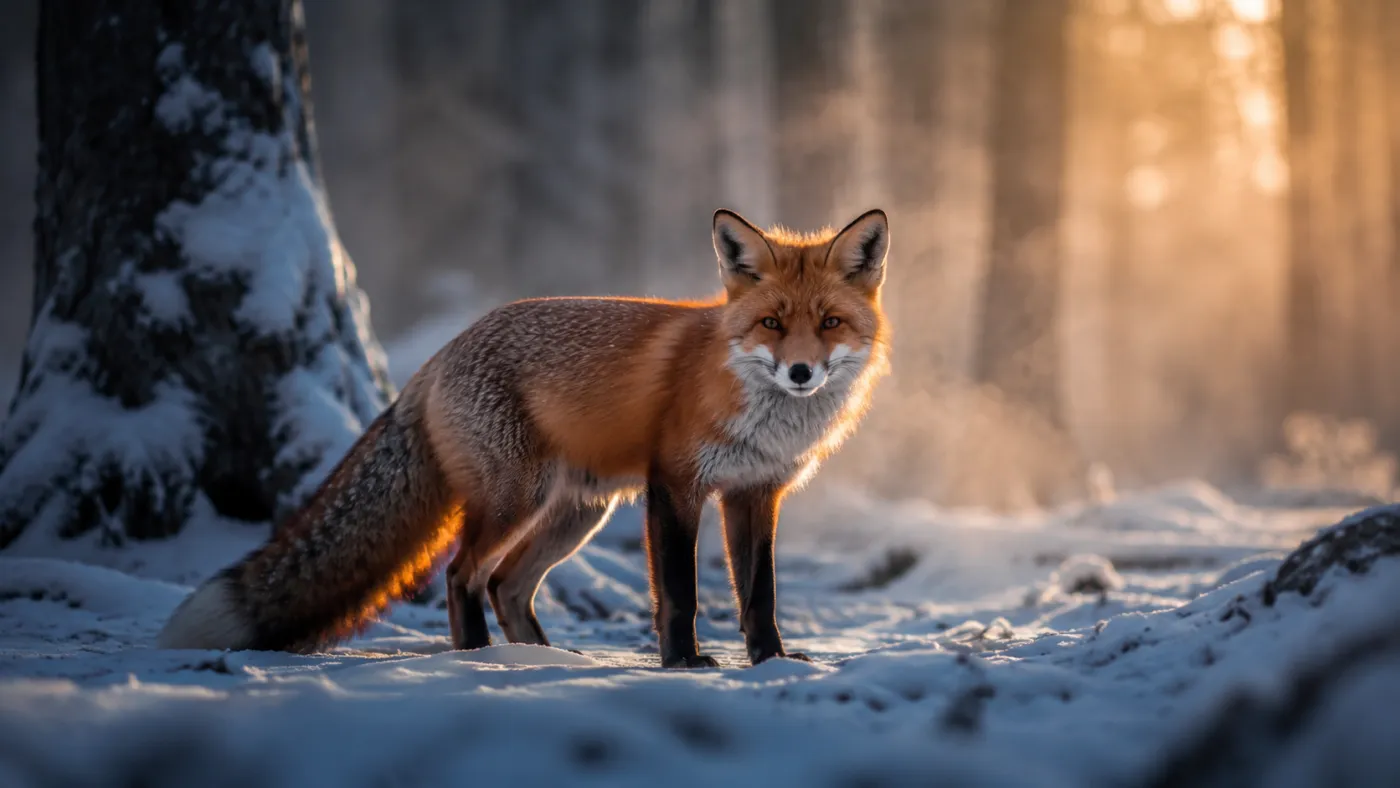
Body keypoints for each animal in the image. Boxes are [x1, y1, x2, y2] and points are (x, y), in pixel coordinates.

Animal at [158, 208, 891, 668]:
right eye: (771, 323)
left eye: (829, 323)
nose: (801, 372)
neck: (755, 406)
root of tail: (437, 357)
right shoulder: (675, 486)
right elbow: (680, 595)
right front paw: (683, 663)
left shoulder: (754, 493)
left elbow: (759, 596)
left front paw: (772, 662)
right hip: (518, 500)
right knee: (463, 574)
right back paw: (482, 658)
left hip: (575, 513)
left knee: (508, 584)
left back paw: (538, 657)